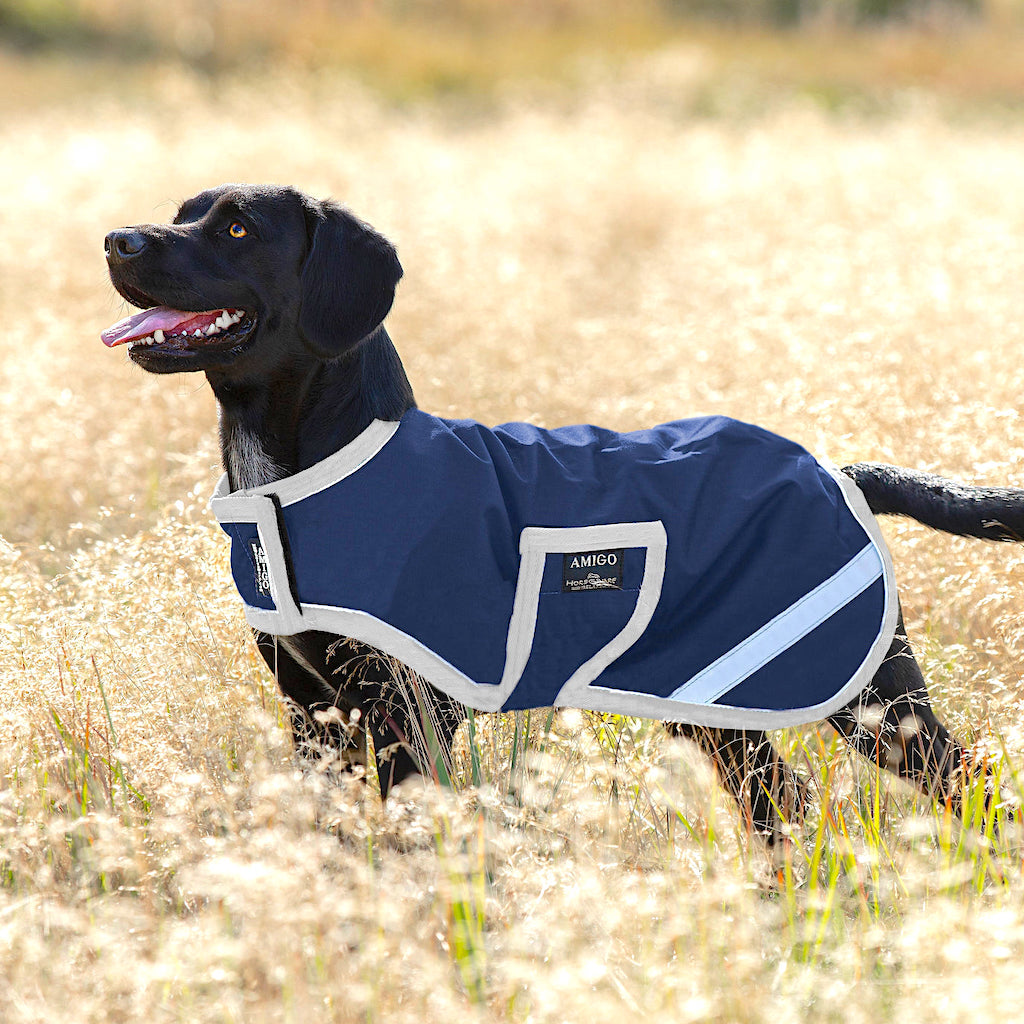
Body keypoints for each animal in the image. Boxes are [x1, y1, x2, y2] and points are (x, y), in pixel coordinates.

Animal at [101, 184, 1024, 839]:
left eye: (237, 230)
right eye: (182, 213)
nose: (118, 239)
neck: (300, 470)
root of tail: (835, 471)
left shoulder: (407, 712)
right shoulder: (311, 709)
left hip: (873, 703)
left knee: (968, 782)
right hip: (716, 705)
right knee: (781, 806)